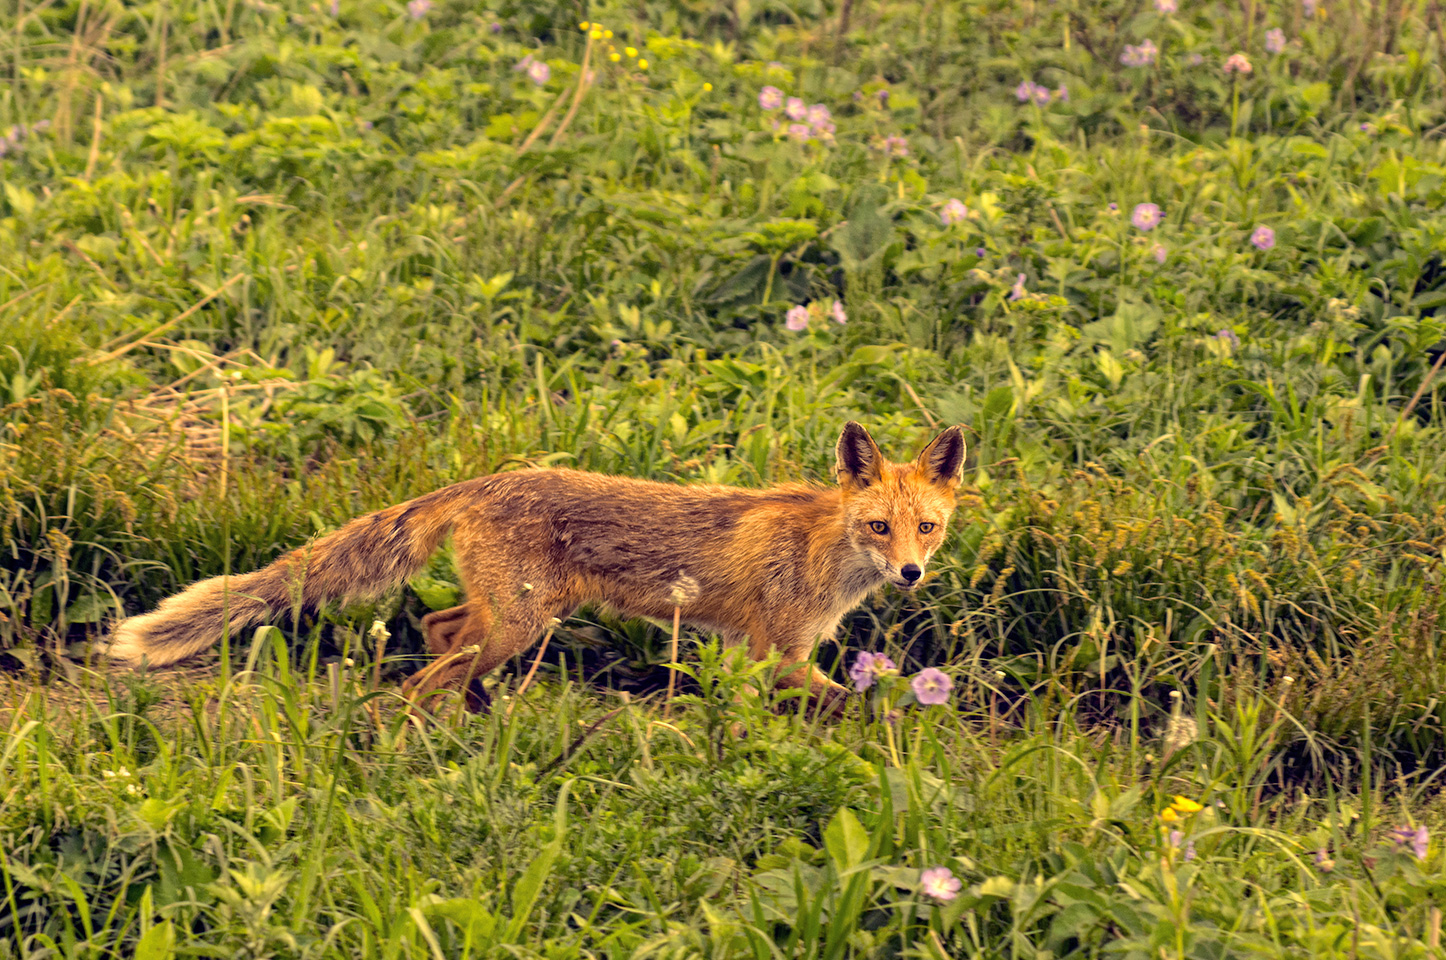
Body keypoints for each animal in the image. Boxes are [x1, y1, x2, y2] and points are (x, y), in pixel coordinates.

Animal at [104, 421, 966, 712]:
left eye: (926, 529)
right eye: (878, 526)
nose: (909, 576)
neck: (828, 554)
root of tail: (482, 481)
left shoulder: (754, 652)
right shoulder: (774, 652)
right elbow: (855, 705)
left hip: (506, 616)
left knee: (436, 626)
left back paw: (475, 710)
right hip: (521, 621)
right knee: (423, 676)